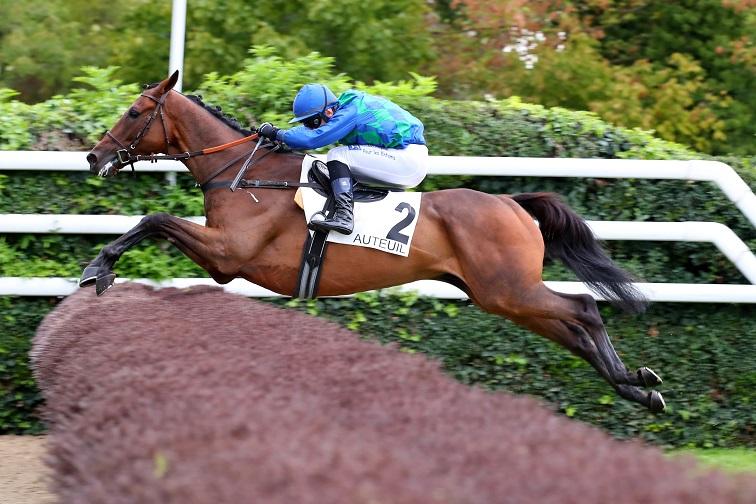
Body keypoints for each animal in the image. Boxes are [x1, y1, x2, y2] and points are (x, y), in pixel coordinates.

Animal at [83, 71, 665, 412]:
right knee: (574, 331)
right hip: (500, 296)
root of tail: (512, 204)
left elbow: (155, 217)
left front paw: (99, 267)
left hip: (509, 289)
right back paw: (638, 386)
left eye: (134, 112)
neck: (245, 174)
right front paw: (100, 267)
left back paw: (636, 380)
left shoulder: (229, 254)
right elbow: (155, 219)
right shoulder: (224, 255)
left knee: (584, 309)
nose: (94, 156)